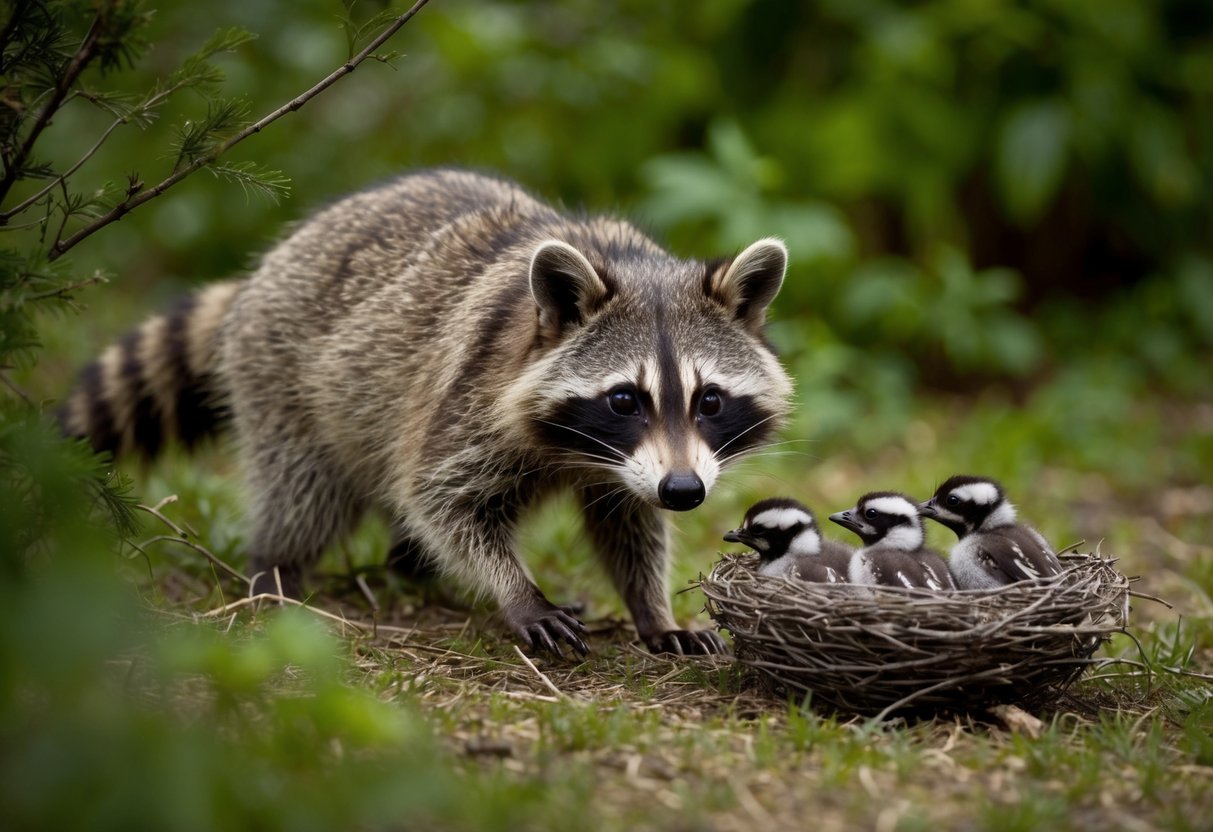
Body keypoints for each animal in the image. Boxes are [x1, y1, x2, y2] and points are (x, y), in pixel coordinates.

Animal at [60, 169, 794, 656]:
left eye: (709, 399)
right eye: (623, 399)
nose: (685, 491)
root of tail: (266, 269)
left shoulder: (630, 469)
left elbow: (628, 524)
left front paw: (651, 608)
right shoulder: (470, 396)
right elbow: (443, 499)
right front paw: (517, 591)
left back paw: (409, 566)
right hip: (284, 377)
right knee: (305, 491)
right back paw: (275, 564)